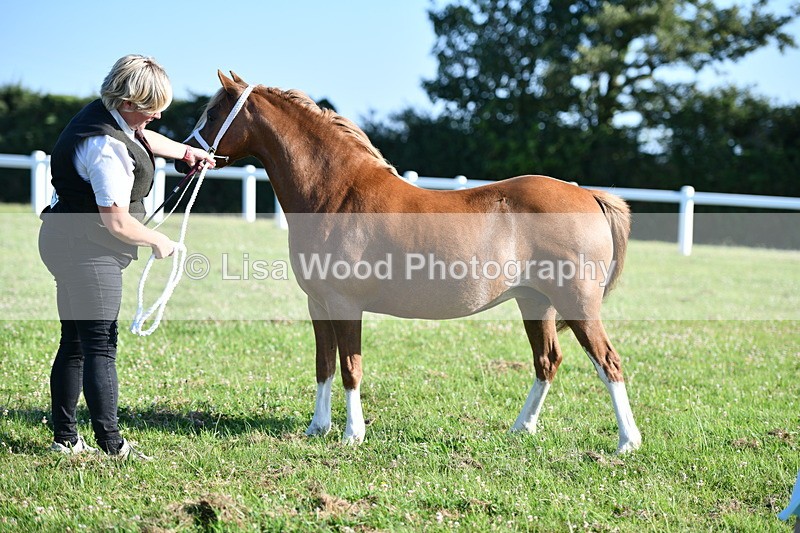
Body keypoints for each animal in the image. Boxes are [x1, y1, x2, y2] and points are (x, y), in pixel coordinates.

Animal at [180, 71, 642, 454]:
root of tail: (588, 195)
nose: (187, 156)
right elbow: (324, 365)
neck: (336, 195)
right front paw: (317, 428)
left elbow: (350, 368)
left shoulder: (345, 305)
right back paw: (521, 429)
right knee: (547, 362)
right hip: (535, 302)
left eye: (213, 113)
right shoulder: (319, 305)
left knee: (608, 363)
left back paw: (626, 442)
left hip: (576, 304)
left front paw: (352, 434)